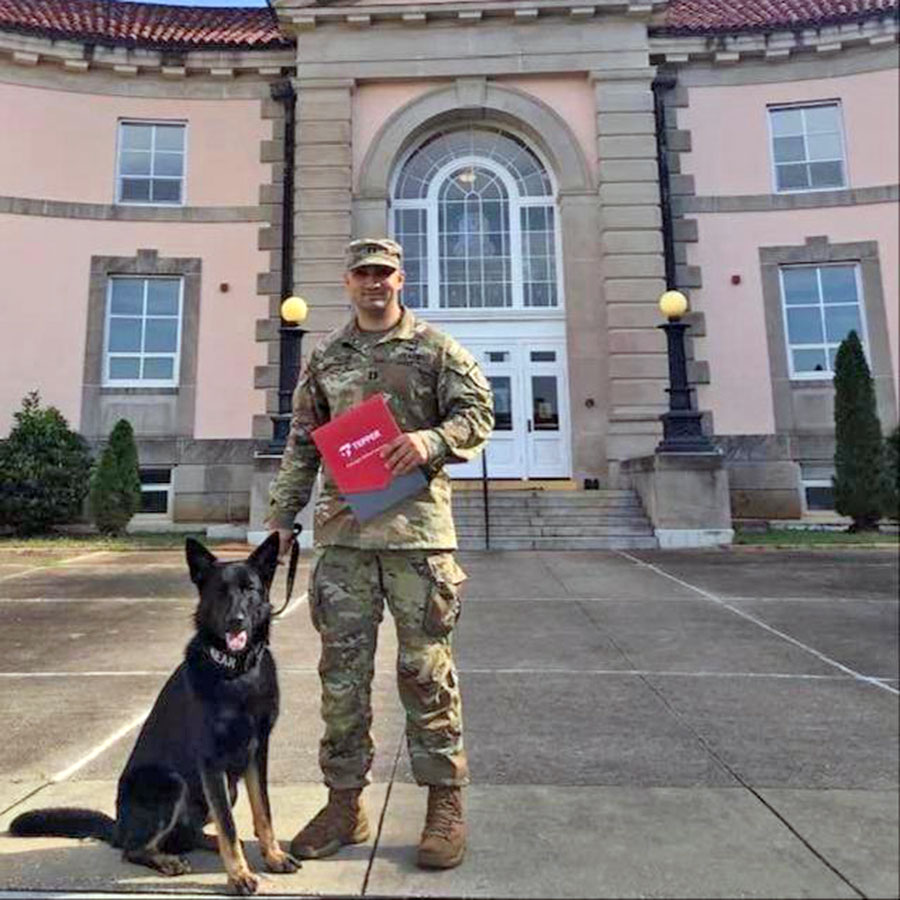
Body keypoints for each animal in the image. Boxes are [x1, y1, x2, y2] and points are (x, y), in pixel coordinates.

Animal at [9, 536, 298, 892]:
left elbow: (263, 812)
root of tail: (119, 826)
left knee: (189, 832)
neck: (237, 674)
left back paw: (203, 843)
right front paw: (239, 874)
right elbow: (229, 826)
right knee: (134, 849)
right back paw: (166, 859)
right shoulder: (211, 761)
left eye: (250, 589)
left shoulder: (257, 752)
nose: (236, 620)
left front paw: (273, 856)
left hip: (223, 789)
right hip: (170, 783)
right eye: (220, 592)